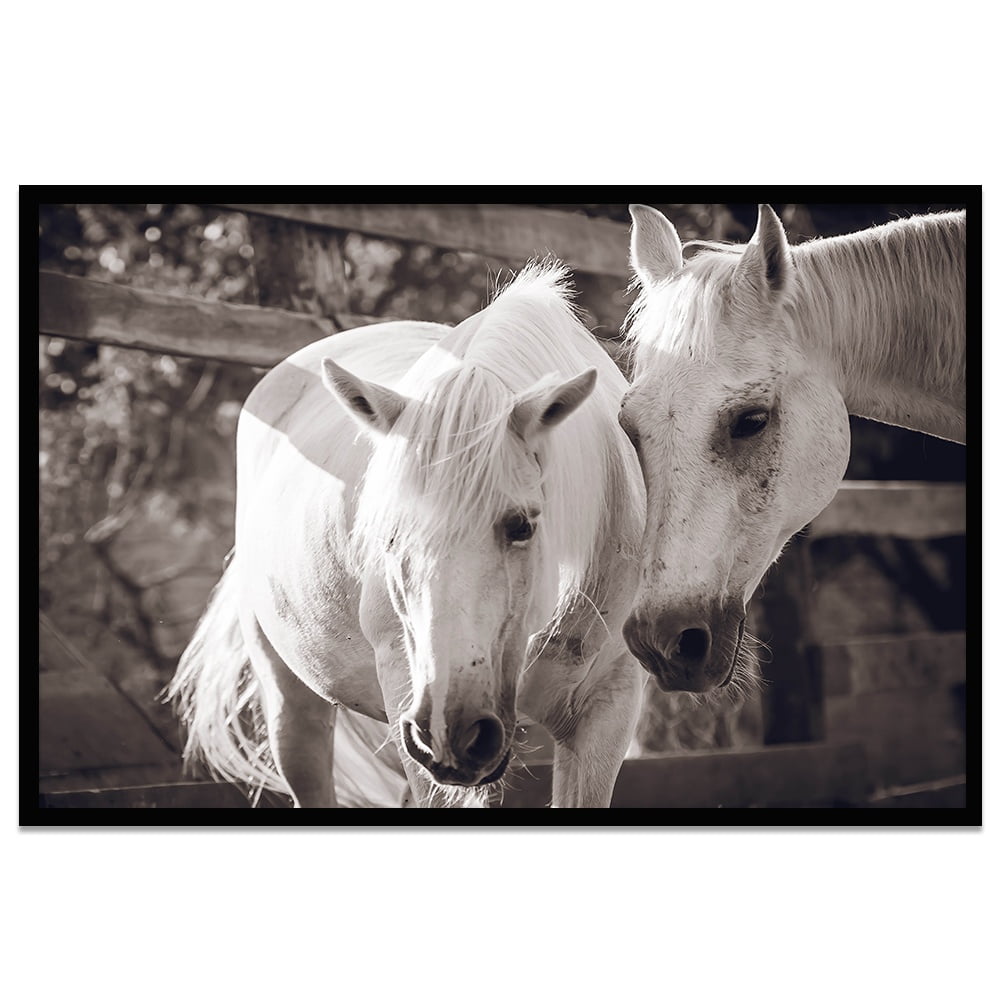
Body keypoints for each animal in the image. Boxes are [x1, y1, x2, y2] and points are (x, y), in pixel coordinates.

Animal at [167, 262, 646, 808]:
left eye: (521, 526)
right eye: (390, 535)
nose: (451, 729)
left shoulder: (608, 706)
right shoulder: (406, 687)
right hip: (295, 701)